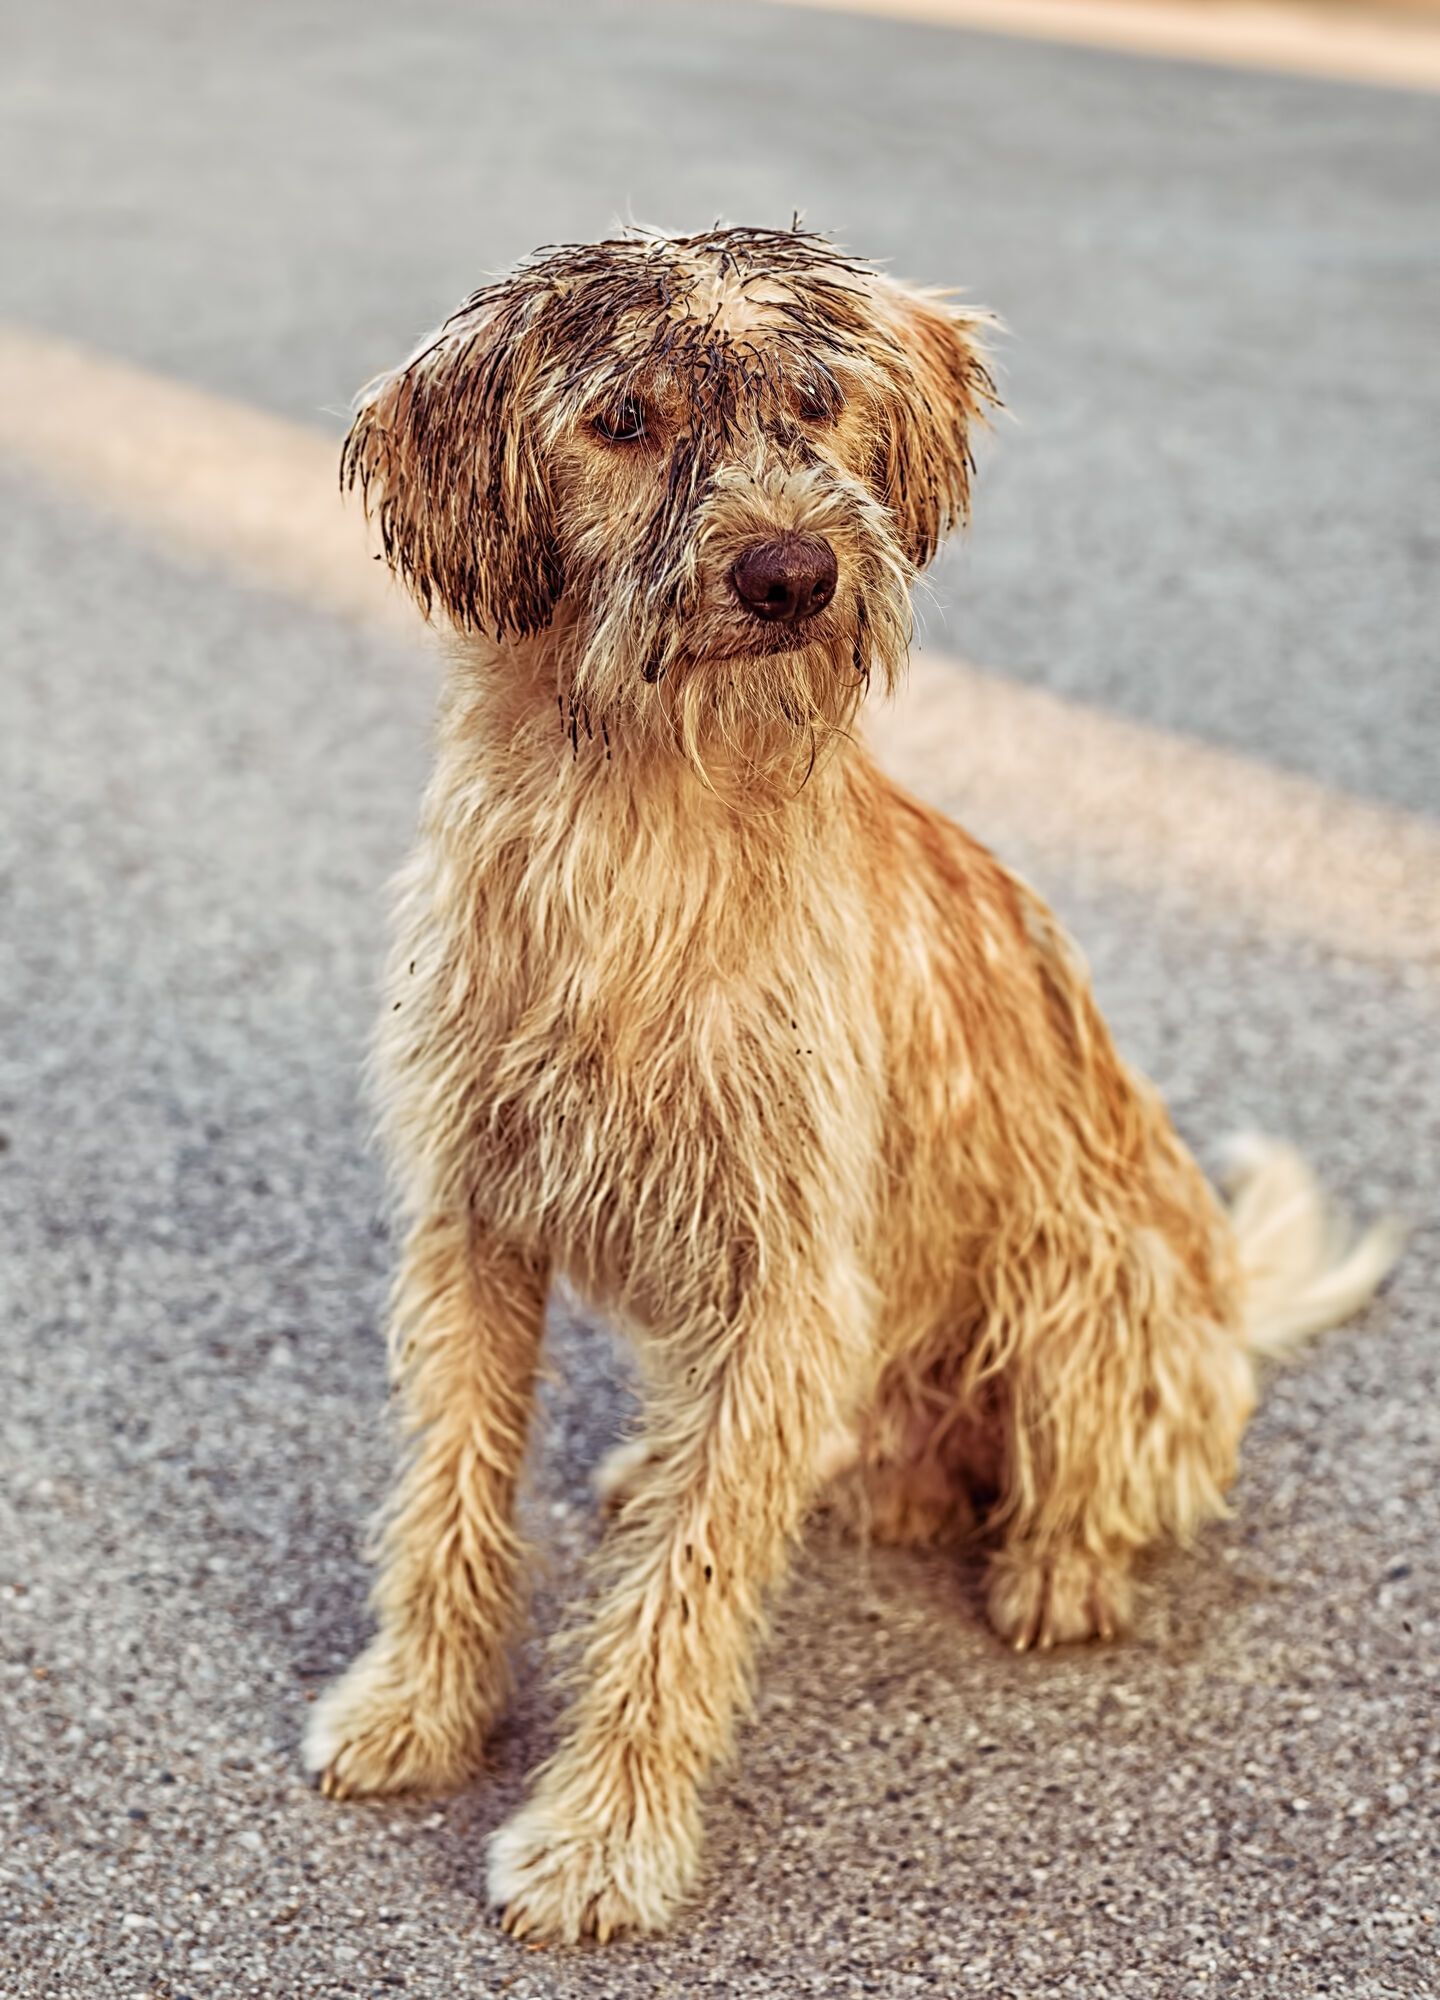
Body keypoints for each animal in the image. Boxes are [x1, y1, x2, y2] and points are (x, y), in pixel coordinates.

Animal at [300, 227, 1392, 1944]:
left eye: (816, 404)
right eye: (624, 419)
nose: (790, 573)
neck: (642, 821)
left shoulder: (782, 1267)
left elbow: (679, 1600)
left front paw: (602, 1836)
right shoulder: (476, 1223)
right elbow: (449, 1495)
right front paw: (417, 1705)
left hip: (1094, 1293)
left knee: (1087, 1476)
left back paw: (1058, 1570)